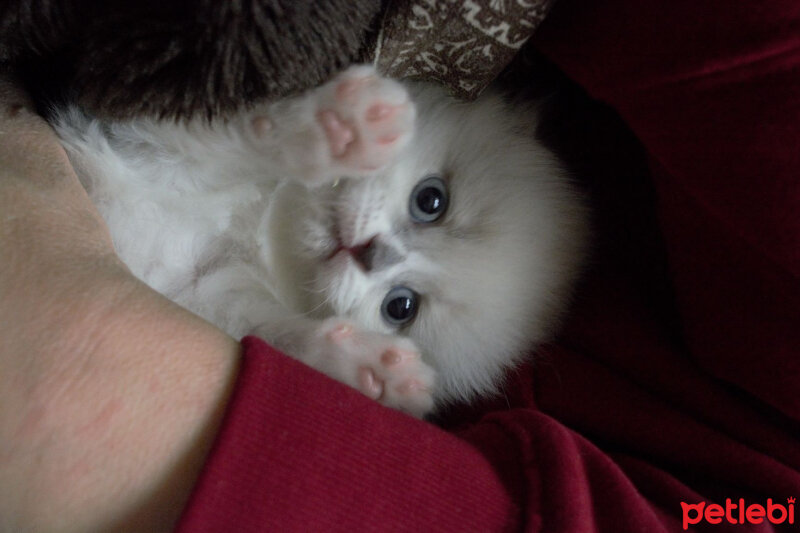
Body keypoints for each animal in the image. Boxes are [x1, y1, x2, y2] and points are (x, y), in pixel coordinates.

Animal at [50, 65, 588, 416]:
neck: (256, 229)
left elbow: (274, 335)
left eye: (401, 307)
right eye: (431, 200)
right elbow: (254, 140)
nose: (373, 254)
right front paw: (348, 129)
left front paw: (371, 370)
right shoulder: (161, 142)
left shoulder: (200, 291)